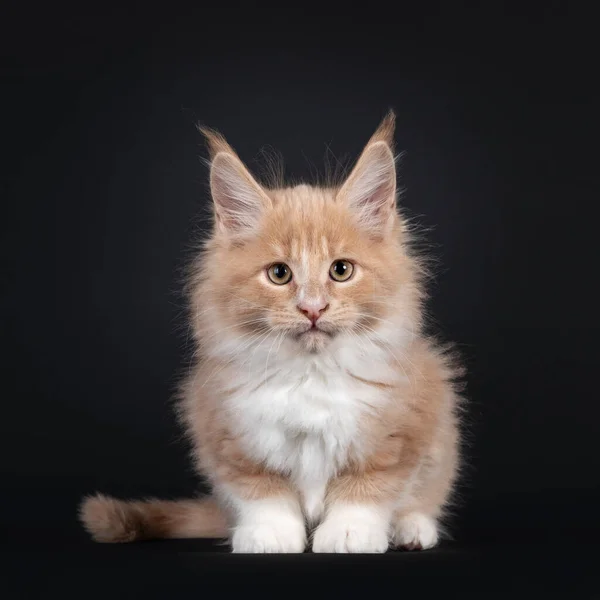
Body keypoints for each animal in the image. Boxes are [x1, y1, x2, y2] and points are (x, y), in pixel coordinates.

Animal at [79, 112, 462, 552]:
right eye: (280, 274)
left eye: (341, 270)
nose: (313, 308)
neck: (309, 374)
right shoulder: (226, 430)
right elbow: (262, 491)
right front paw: (270, 534)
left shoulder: (403, 426)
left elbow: (368, 486)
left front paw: (350, 532)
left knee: (424, 497)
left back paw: (412, 529)